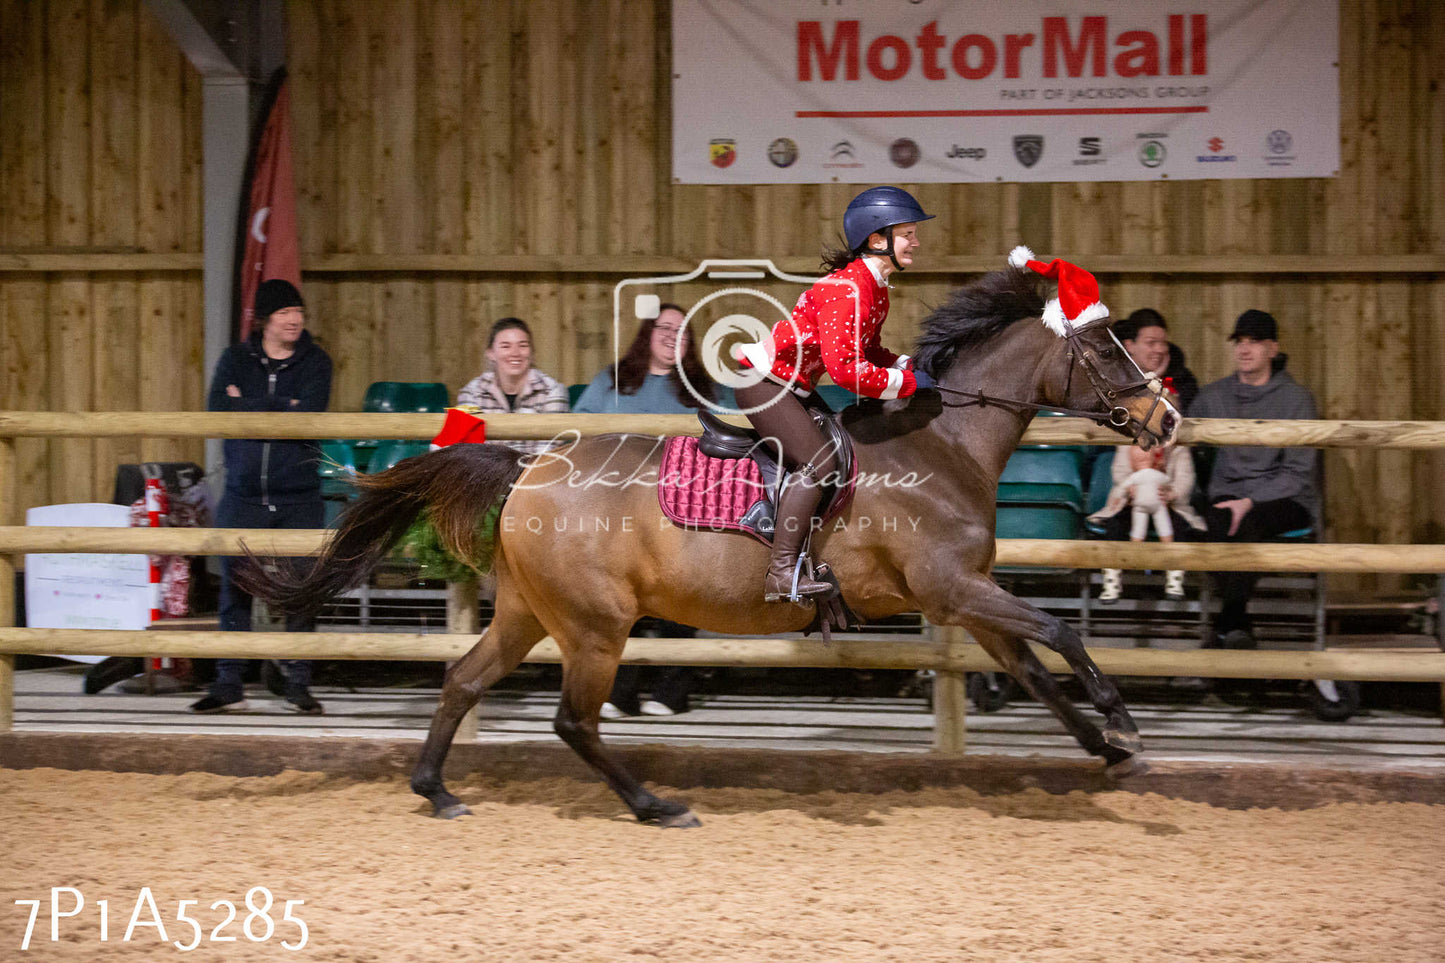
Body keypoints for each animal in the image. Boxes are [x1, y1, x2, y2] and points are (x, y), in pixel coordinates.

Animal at [254, 266, 1179, 821]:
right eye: (1105, 347)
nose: (1166, 418)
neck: (941, 444)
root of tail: (529, 462)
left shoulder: (963, 597)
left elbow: (1033, 669)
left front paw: (1102, 745)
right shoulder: (952, 589)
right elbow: (1060, 633)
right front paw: (1124, 721)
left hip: (528, 611)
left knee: (463, 679)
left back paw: (437, 788)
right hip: (594, 625)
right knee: (571, 719)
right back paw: (655, 804)